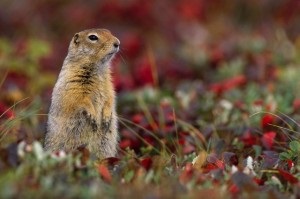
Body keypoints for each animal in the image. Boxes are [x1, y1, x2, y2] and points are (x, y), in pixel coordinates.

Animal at [44, 28, 119, 159]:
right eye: (93, 37)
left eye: (109, 32)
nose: (117, 43)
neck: (99, 68)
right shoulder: (74, 83)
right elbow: (80, 98)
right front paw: (93, 117)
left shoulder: (109, 85)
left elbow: (110, 97)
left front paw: (106, 116)